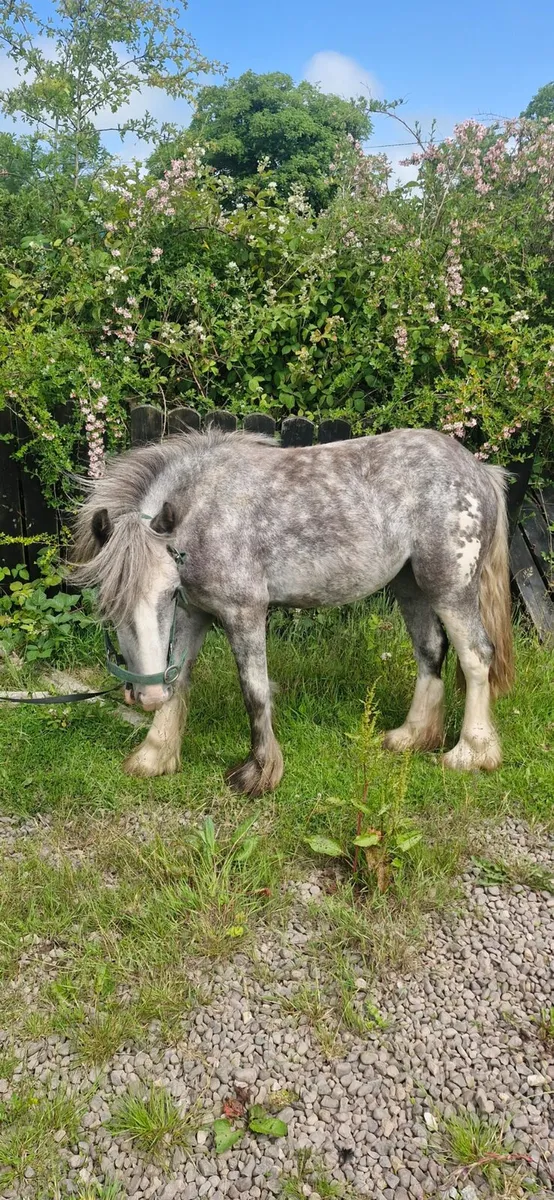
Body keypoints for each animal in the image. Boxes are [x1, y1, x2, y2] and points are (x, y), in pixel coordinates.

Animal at [72, 427, 514, 796]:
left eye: (166, 594)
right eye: (108, 604)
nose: (146, 697)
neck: (202, 512)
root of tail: (479, 470)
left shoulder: (243, 613)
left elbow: (255, 692)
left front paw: (259, 773)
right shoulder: (193, 613)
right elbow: (178, 678)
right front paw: (154, 756)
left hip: (450, 589)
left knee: (477, 657)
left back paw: (472, 753)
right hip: (412, 587)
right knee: (430, 652)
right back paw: (411, 736)